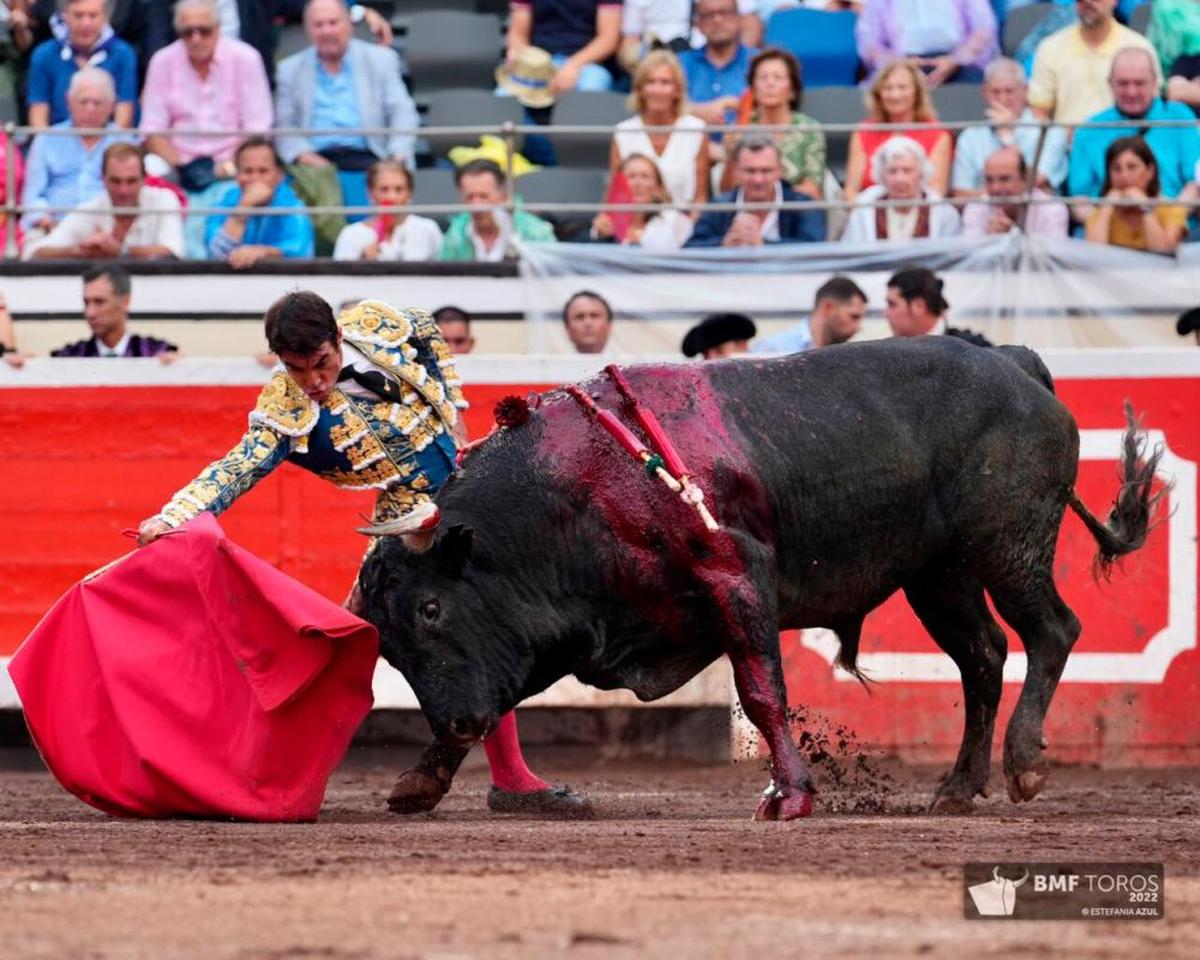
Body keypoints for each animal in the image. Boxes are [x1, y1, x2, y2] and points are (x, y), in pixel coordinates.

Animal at [355, 336, 1161, 816]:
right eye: (387, 644)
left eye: (431, 609)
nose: (455, 721)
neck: (581, 484)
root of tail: (1015, 363)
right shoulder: (574, 625)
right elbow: (508, 690)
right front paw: (423, 776)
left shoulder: (736, 576)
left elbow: (762, 691)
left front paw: (792, 796)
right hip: (940, 577)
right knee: (984, 658)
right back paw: (959, 787)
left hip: (1008, 546)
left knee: (1052, 631)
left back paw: (1024, 763)